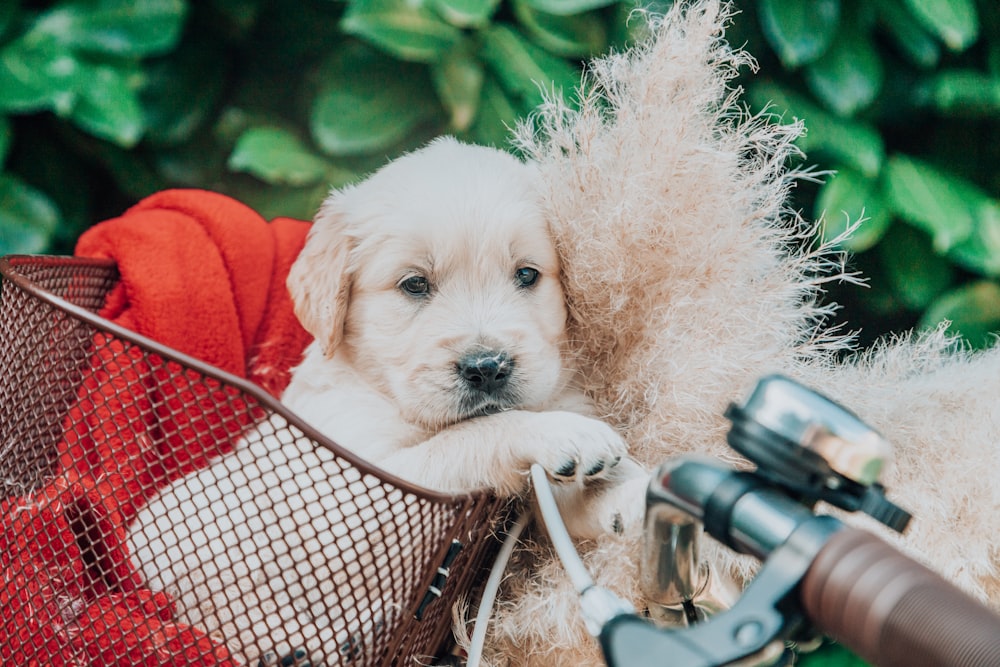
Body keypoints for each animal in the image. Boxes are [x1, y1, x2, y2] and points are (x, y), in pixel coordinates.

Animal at [125, 138, 632, 664]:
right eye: (414, 284)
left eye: (527, 275)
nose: (488, 367)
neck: (391, 394)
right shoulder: (357, 498)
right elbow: (472, 434)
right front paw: (560, 432)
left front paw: (625, 494)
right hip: (169, 530)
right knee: (210, 610)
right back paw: (295, 645)